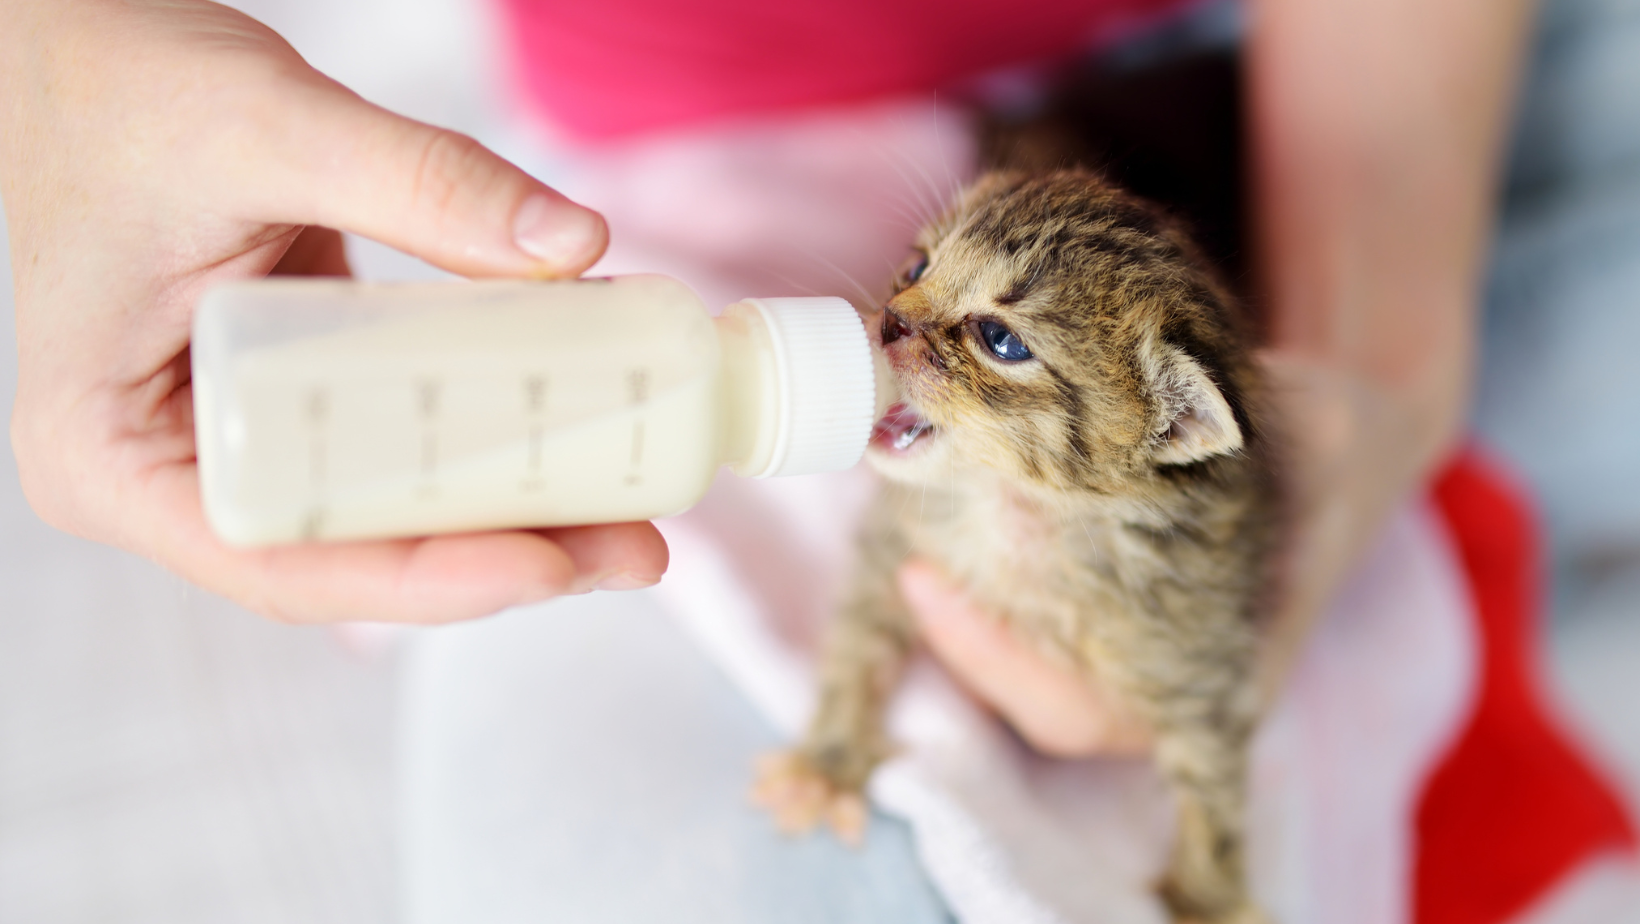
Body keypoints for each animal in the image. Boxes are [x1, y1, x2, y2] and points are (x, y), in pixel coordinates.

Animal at [754, 169, 1279, 919]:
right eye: (917, 267)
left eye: (999, 340)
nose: (888, 319)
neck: (1021, 513)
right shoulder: (896, 549)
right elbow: (857, 644)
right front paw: (827, 763)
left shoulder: (1200, 654)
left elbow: (1213, 779)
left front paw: (1208, 898)